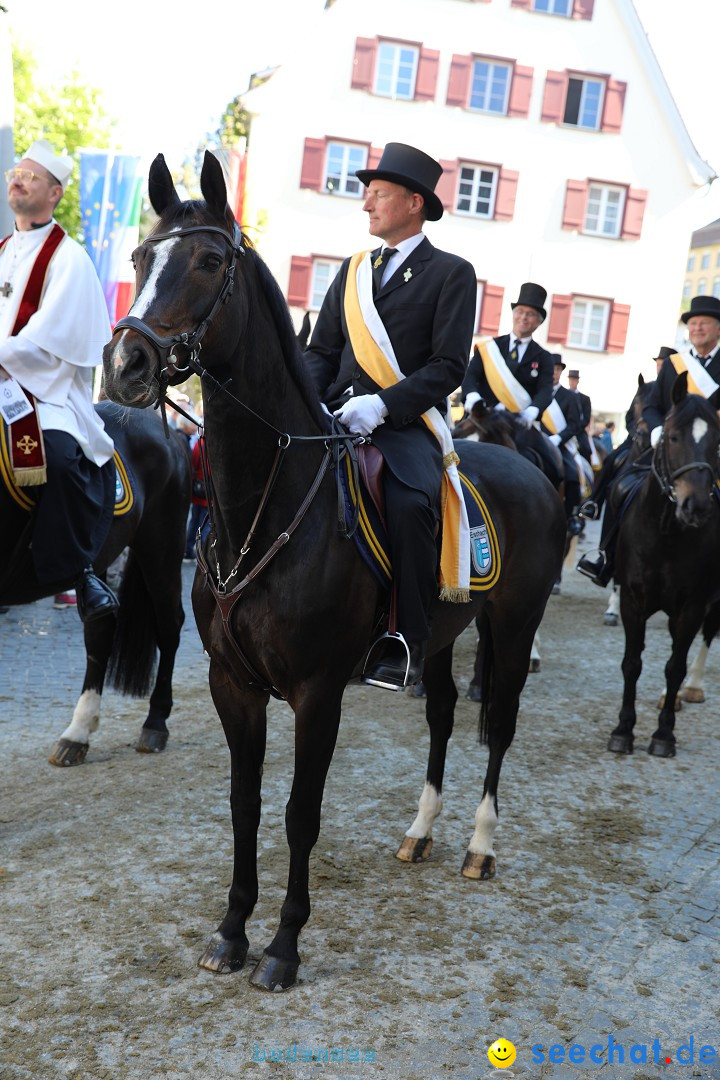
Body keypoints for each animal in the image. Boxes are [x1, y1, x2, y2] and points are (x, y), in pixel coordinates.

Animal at [99, 154, 569, 993]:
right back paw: (421, 830)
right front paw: (231, 931)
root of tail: (528, 469)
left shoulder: (319, 690)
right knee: (443, 711)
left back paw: (479, 846)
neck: (265, 501)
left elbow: (299, 813)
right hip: (437, 634)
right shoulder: (233, 683)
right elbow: (245, 803)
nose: (126, 366)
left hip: (512, 625)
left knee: (502, 723)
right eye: (140, 259)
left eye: (209, 261)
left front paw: (283, 947)